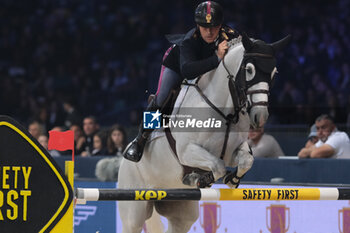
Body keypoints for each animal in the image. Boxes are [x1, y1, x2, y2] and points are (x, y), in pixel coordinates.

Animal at [117, 33, 290, 233]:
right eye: (249, 70)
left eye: (274, 73)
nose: (260, 116)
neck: (225, 111)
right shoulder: (187, 151)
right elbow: (217, 166)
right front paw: (199, 178)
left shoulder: (233, 151)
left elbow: (246, 160)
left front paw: (232, 179)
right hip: (134, 209)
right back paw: (134, 150)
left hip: (181, 211)